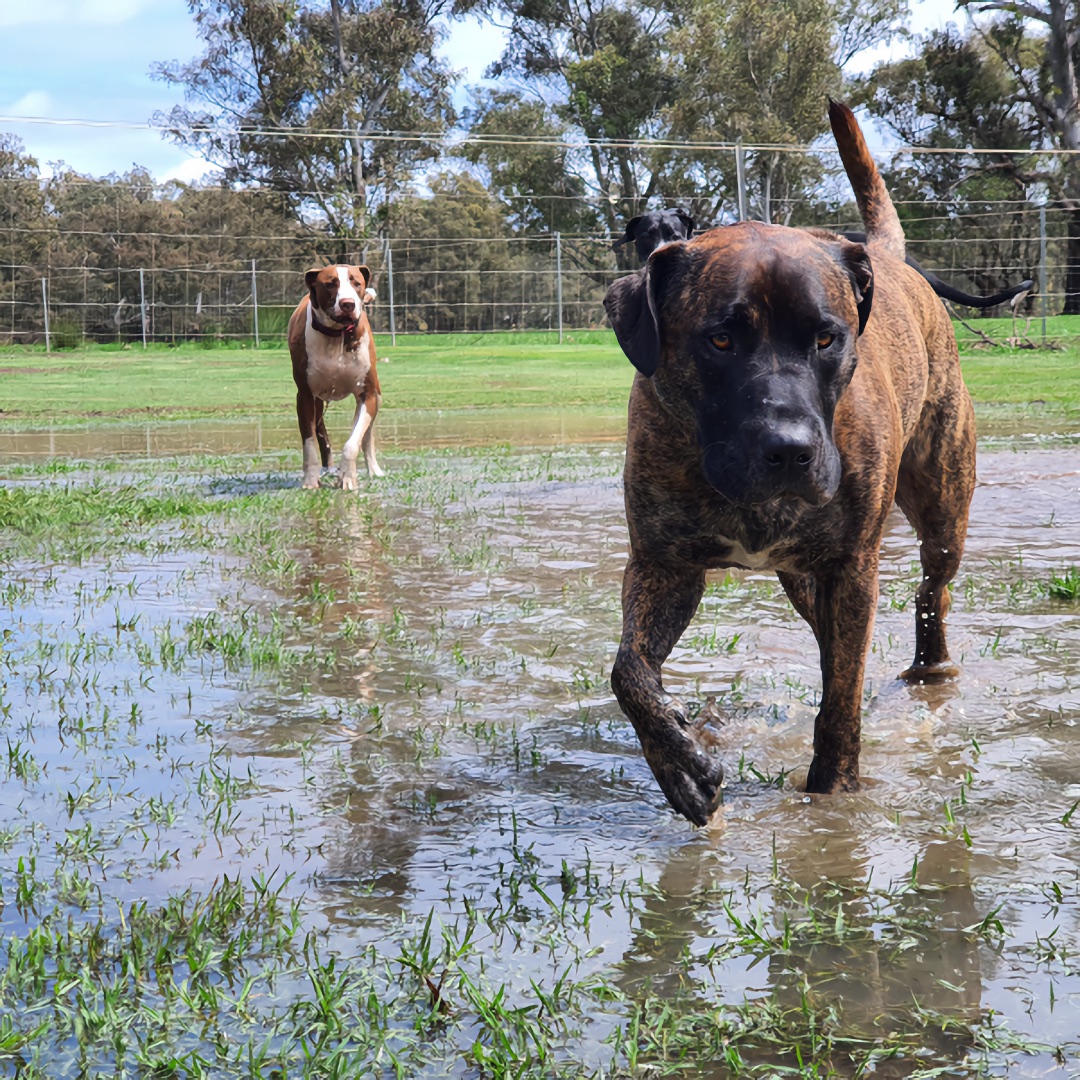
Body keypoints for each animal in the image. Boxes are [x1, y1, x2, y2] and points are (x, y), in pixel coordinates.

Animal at [287, 265, 384, 490]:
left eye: (356, 282)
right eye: (330, 283)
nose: (347, 304)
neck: (336, 335)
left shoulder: (368, 394)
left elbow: (353, 442)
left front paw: (347, 477)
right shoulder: (305, 396)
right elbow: (309, 443)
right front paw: (310, 480)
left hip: (376, 397)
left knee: (366, 436)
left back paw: (373, 470)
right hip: (318, 402)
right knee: (321, 433)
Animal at [609, 103, 980, 825]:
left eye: (827, 338)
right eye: (721, 339)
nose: (790, 450)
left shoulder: (851, 568)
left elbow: (841, 699)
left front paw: (833, 791)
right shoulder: (663, 567)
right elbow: (629, 673)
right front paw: (682, 766)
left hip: (940, 507)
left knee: (932, 593)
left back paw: (931, 668)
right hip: (807, 581)